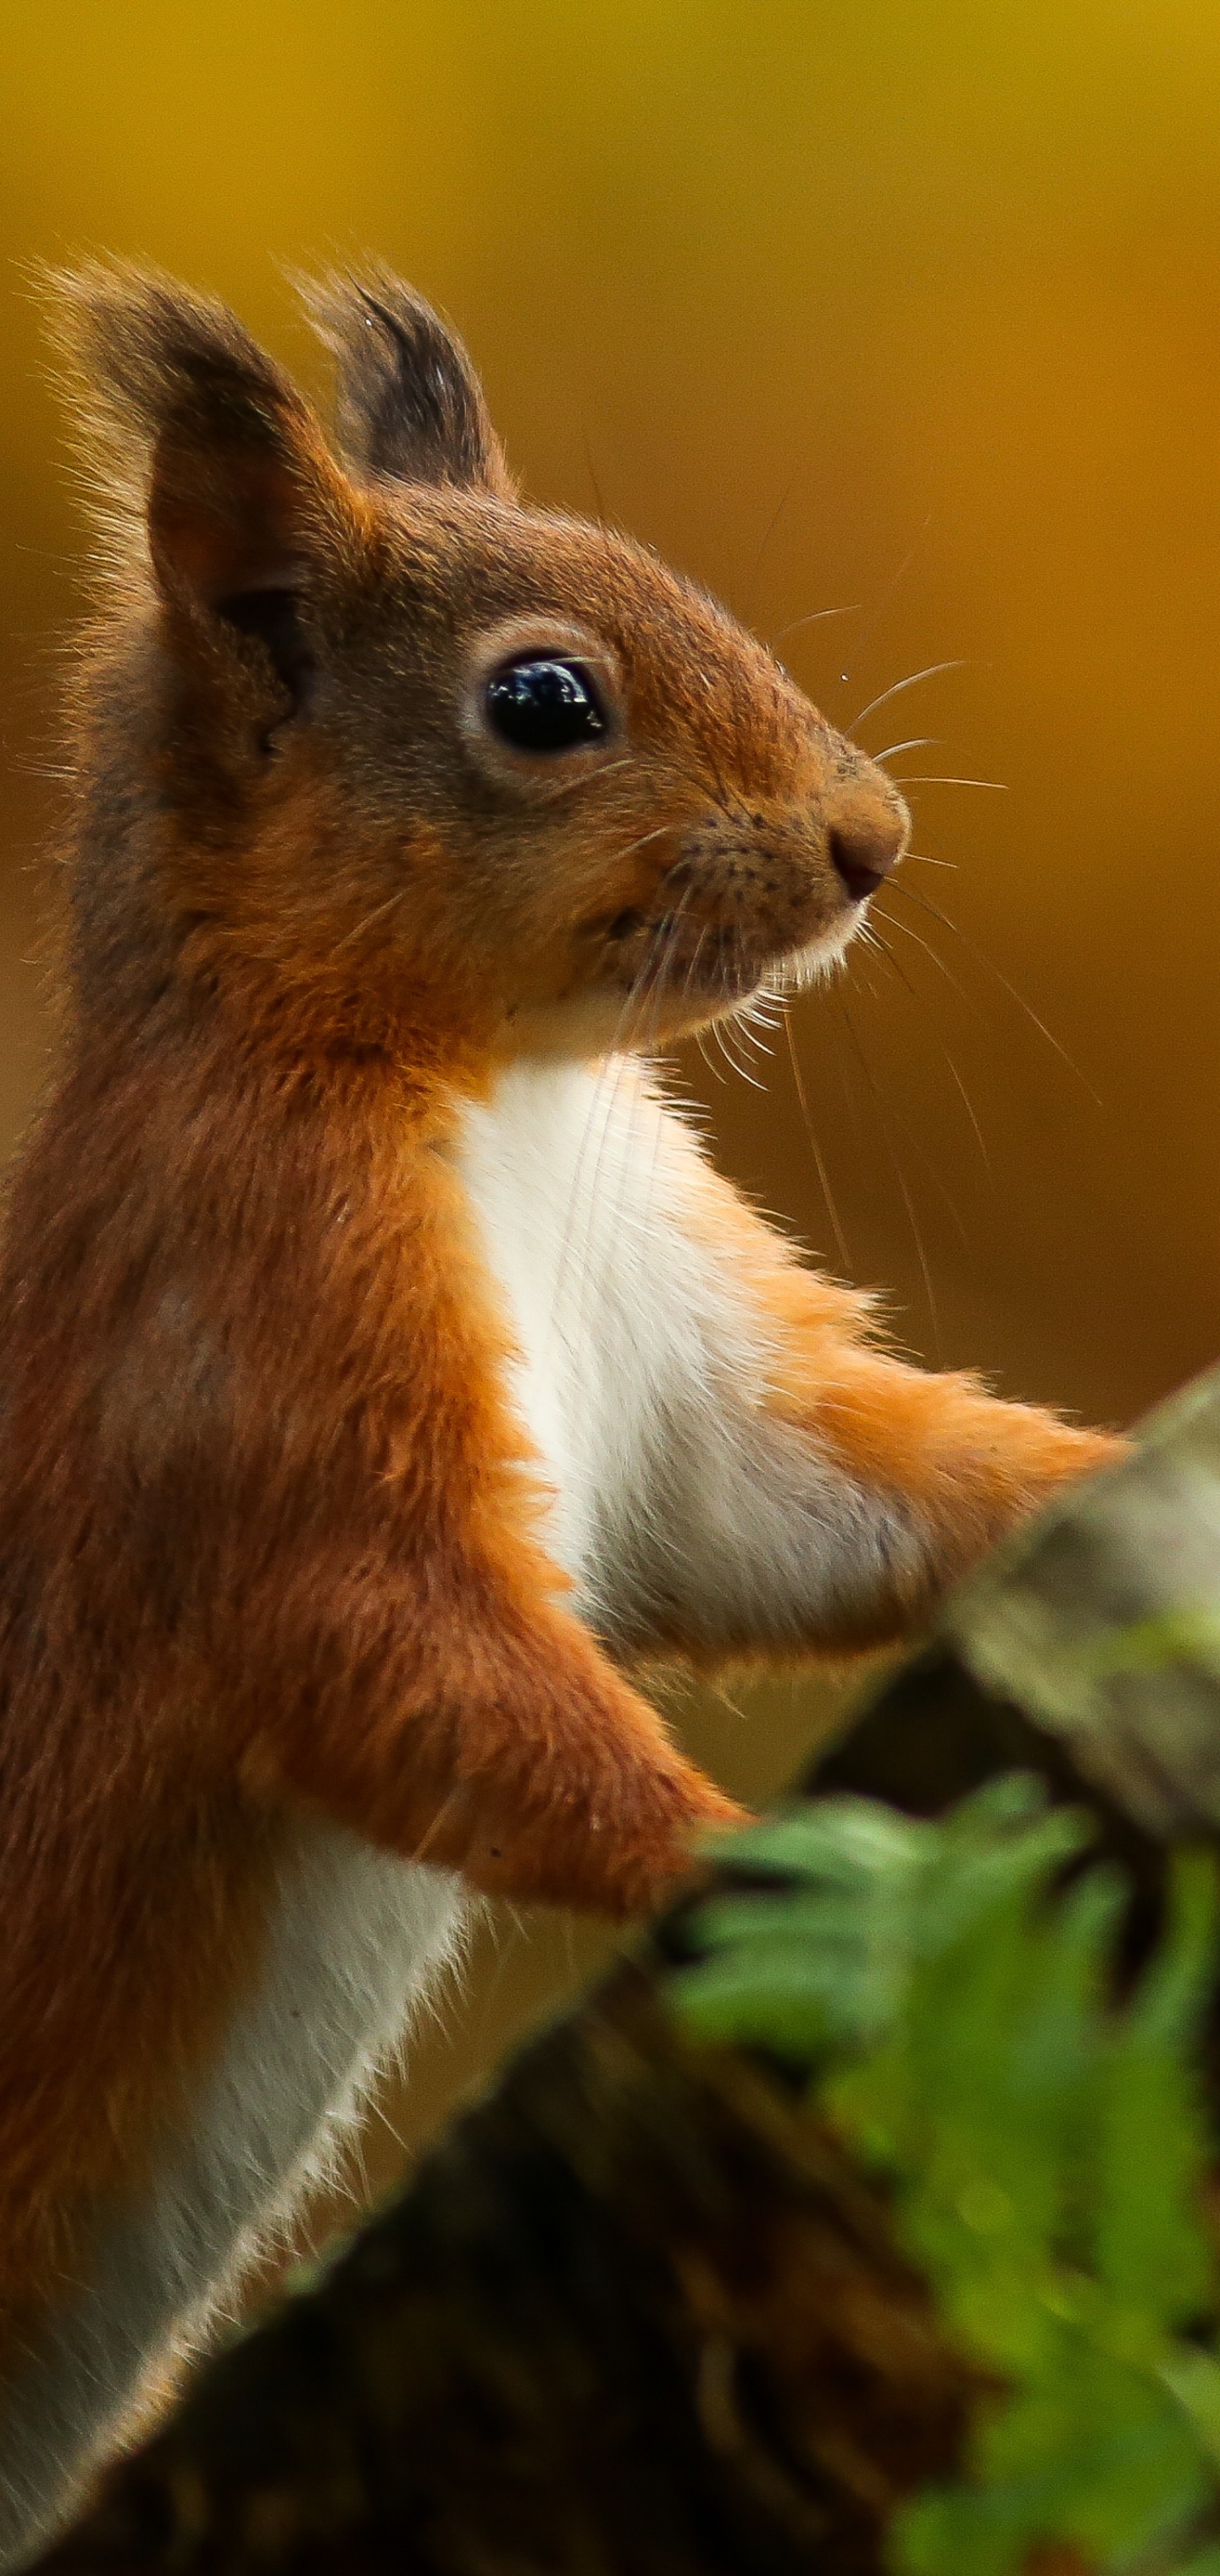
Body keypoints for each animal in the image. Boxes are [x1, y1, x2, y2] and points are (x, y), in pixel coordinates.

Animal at [0, 261, 1122, 2555]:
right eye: (541, 703)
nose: (872, 839)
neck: (500, 1092)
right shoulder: (241, 1355)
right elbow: (394, 1647)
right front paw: (744, 1863)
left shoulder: (691, 1378)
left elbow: (826, 1503)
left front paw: (1111, 1463)